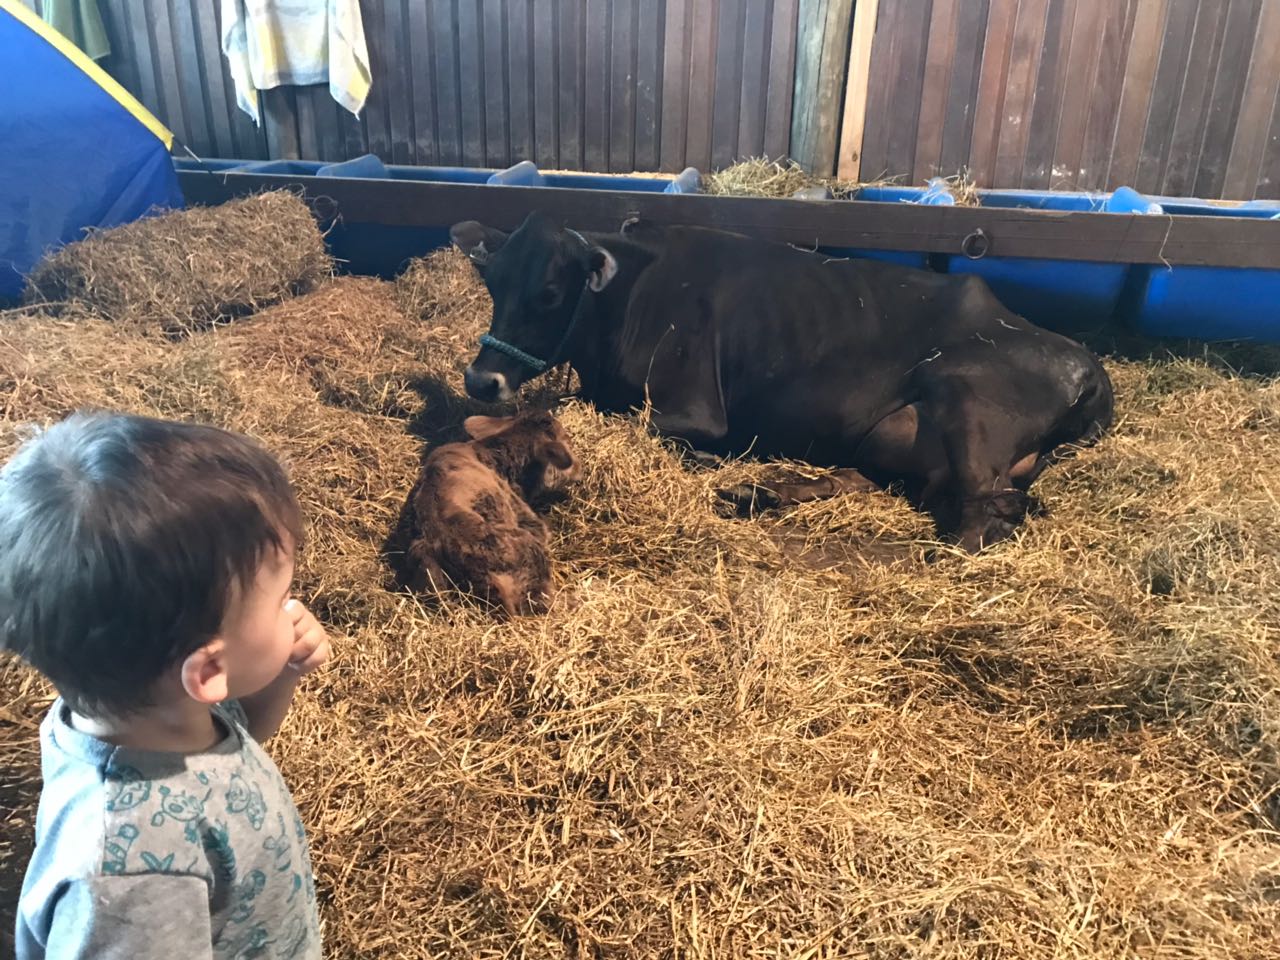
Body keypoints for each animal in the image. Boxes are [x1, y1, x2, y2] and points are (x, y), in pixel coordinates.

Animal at [453, 213, 1111, 552]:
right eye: (493, 283)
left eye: (549, 293)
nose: (482, 379)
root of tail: (1086, 362)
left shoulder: (696, 411)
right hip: (887, 435)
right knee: (873, 480)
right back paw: (758, 494)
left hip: (969, 404)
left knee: (988, 513)